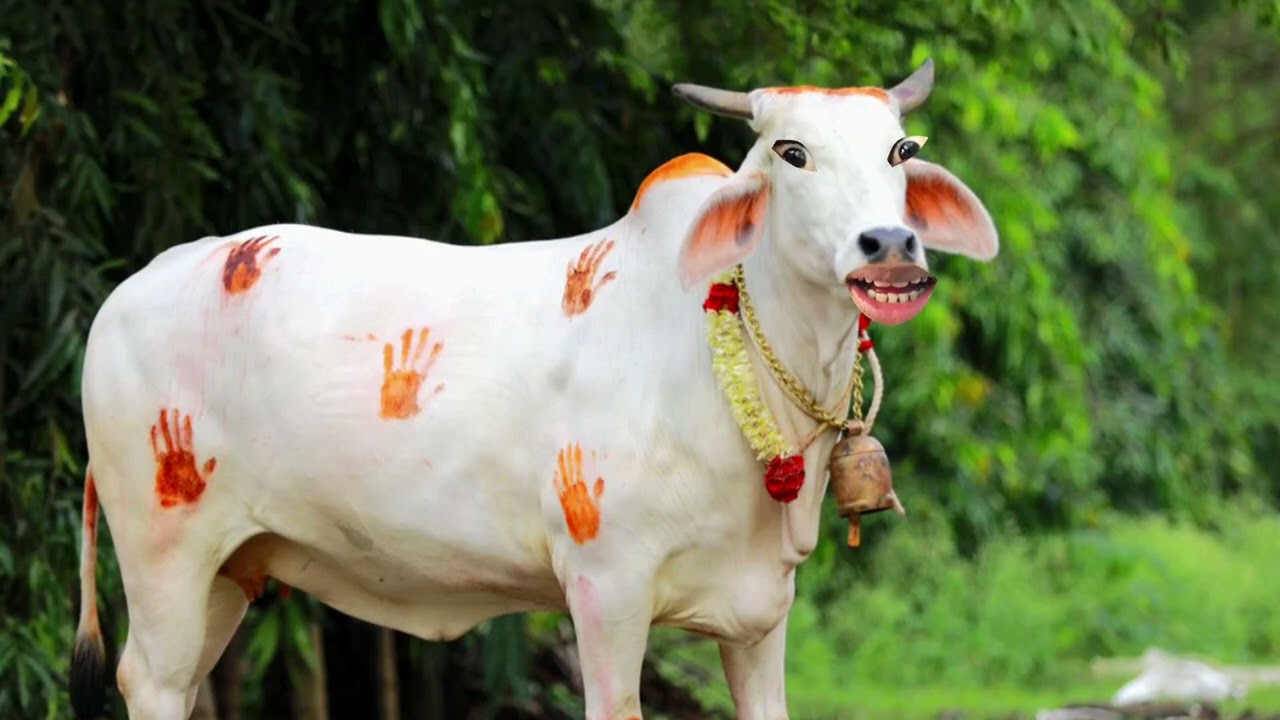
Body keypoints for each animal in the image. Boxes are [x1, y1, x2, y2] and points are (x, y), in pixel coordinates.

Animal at [70, 59, 997, 720]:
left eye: (901, 152)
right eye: (791, 151)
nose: (889, 246)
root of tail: (134, 286)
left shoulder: (762, 615)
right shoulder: (606, 589)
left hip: (232, 570)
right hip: (162, 551)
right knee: (150, 681)